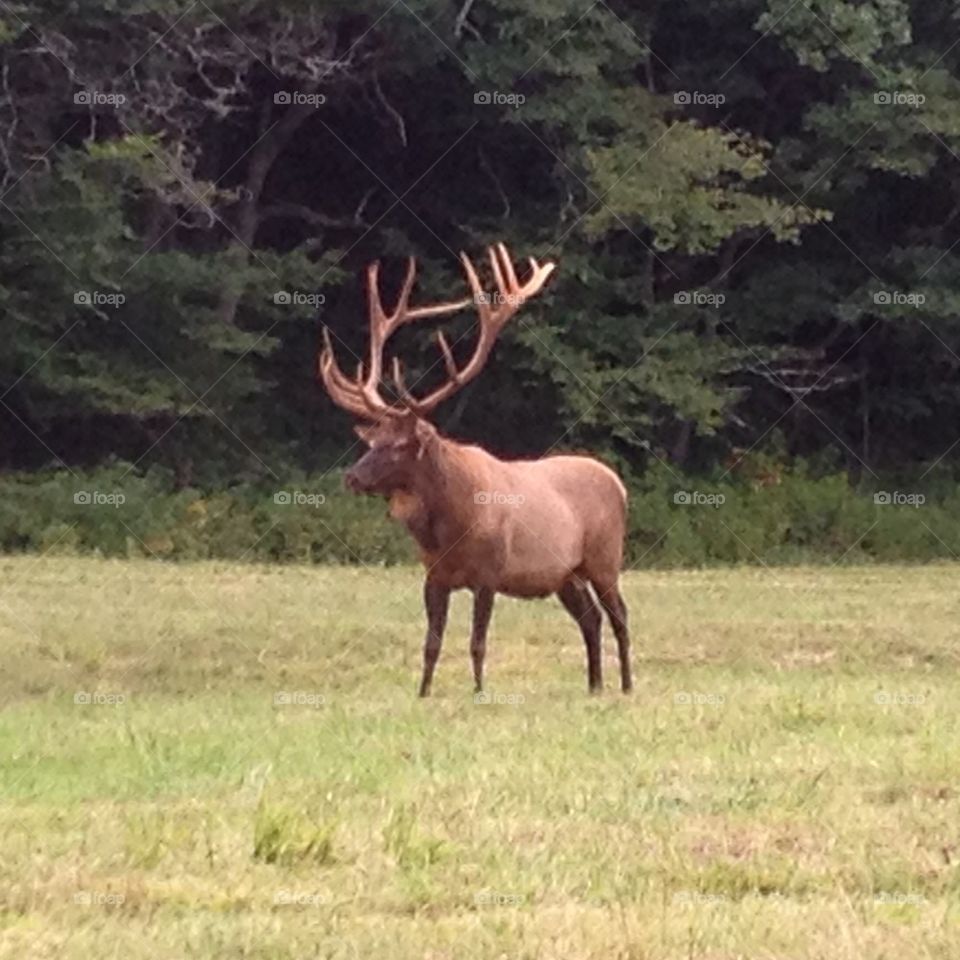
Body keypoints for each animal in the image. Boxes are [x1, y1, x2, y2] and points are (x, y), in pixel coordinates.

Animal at [318, 244, 632, 696]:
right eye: (371, 442)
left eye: (398, 446)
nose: (352, 477)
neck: (450, 525)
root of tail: (619, 484)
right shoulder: (433, 575)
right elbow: (431, 643)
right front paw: (423, 693)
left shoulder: (489, 572)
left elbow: (477, 642)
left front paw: (480, 692)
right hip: (565, 574)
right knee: (590, 618)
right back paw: (594, 686)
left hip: (605, 557)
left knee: (620, 615)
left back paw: (626, 685)